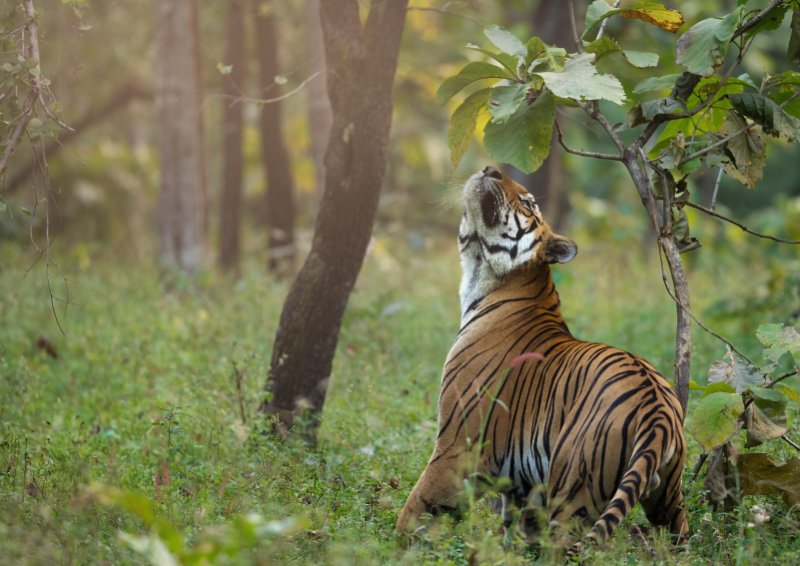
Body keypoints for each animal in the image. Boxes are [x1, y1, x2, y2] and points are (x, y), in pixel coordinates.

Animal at [396, 165, 688, 556]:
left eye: (528, 201)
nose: (491, 168)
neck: (483, 273)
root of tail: (658, 414)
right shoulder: (521, 481)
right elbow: (515, 526)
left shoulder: (458, 443)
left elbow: (417, 507)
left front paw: (394, 545)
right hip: (667, 500)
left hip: (573, 493)